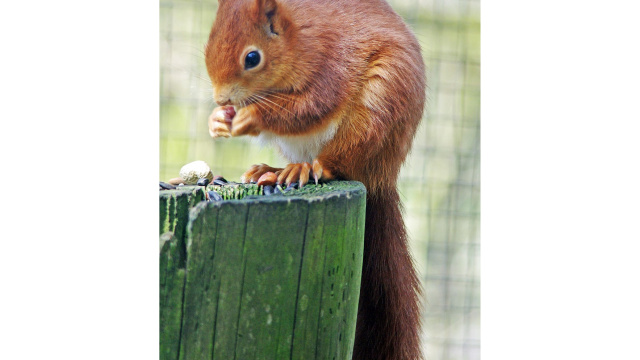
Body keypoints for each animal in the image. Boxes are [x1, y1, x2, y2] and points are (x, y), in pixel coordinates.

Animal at [205, 1, 424, 358]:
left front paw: (253, 116)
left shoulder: (329, 64)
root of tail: (382, 175)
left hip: (377, 112)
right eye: (208, 46)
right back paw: (273, 169)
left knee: (339, 161)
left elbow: (310, 106)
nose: (222, 100)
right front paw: (217, 120)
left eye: (252, 58)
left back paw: (309, 170)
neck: (296, 40)